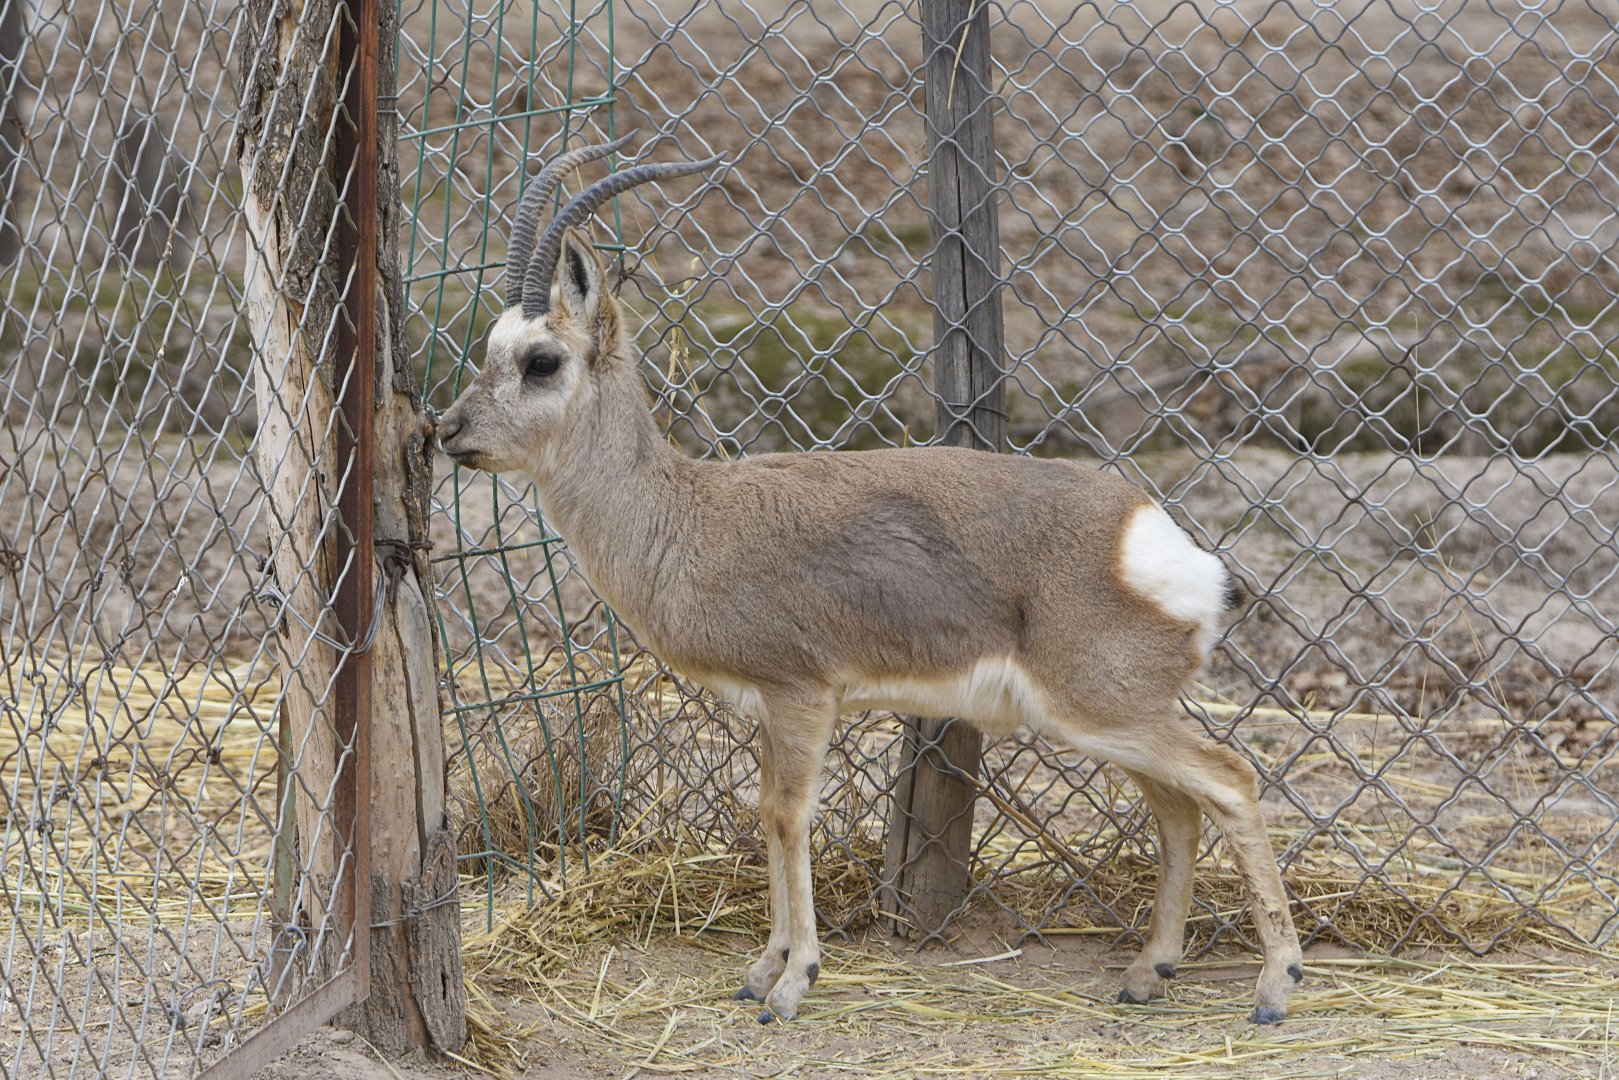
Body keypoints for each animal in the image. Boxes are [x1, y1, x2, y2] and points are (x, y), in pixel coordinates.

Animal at [437, 138, 1306, 1026]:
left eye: (541, 361)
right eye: (489, 348)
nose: (448, 433)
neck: (687, 518)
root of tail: (1158, 542)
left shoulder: (801, 695)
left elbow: (789, 818)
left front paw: (793, 983)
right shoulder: (767, 708)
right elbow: (767, 815)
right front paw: (762, 970)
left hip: (1103, 713)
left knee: (1231, 782)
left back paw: (1275, 986)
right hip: (1108, 721)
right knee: (1178, 809)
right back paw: (1147, 971)